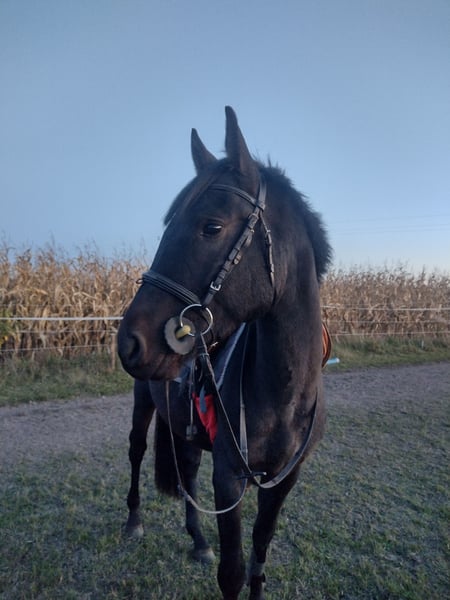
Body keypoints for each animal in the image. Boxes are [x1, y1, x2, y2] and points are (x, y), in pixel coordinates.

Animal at [118, 106, 332, 600]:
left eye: (211, 226)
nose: (130, 340)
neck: (284, 391)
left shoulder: (282, 481)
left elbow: (258, 560)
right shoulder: (230, 478)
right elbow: (232, 573)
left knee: (187, 468)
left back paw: (198, 541)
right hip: (142, 403)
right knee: (137, 451)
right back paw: (134, 521)